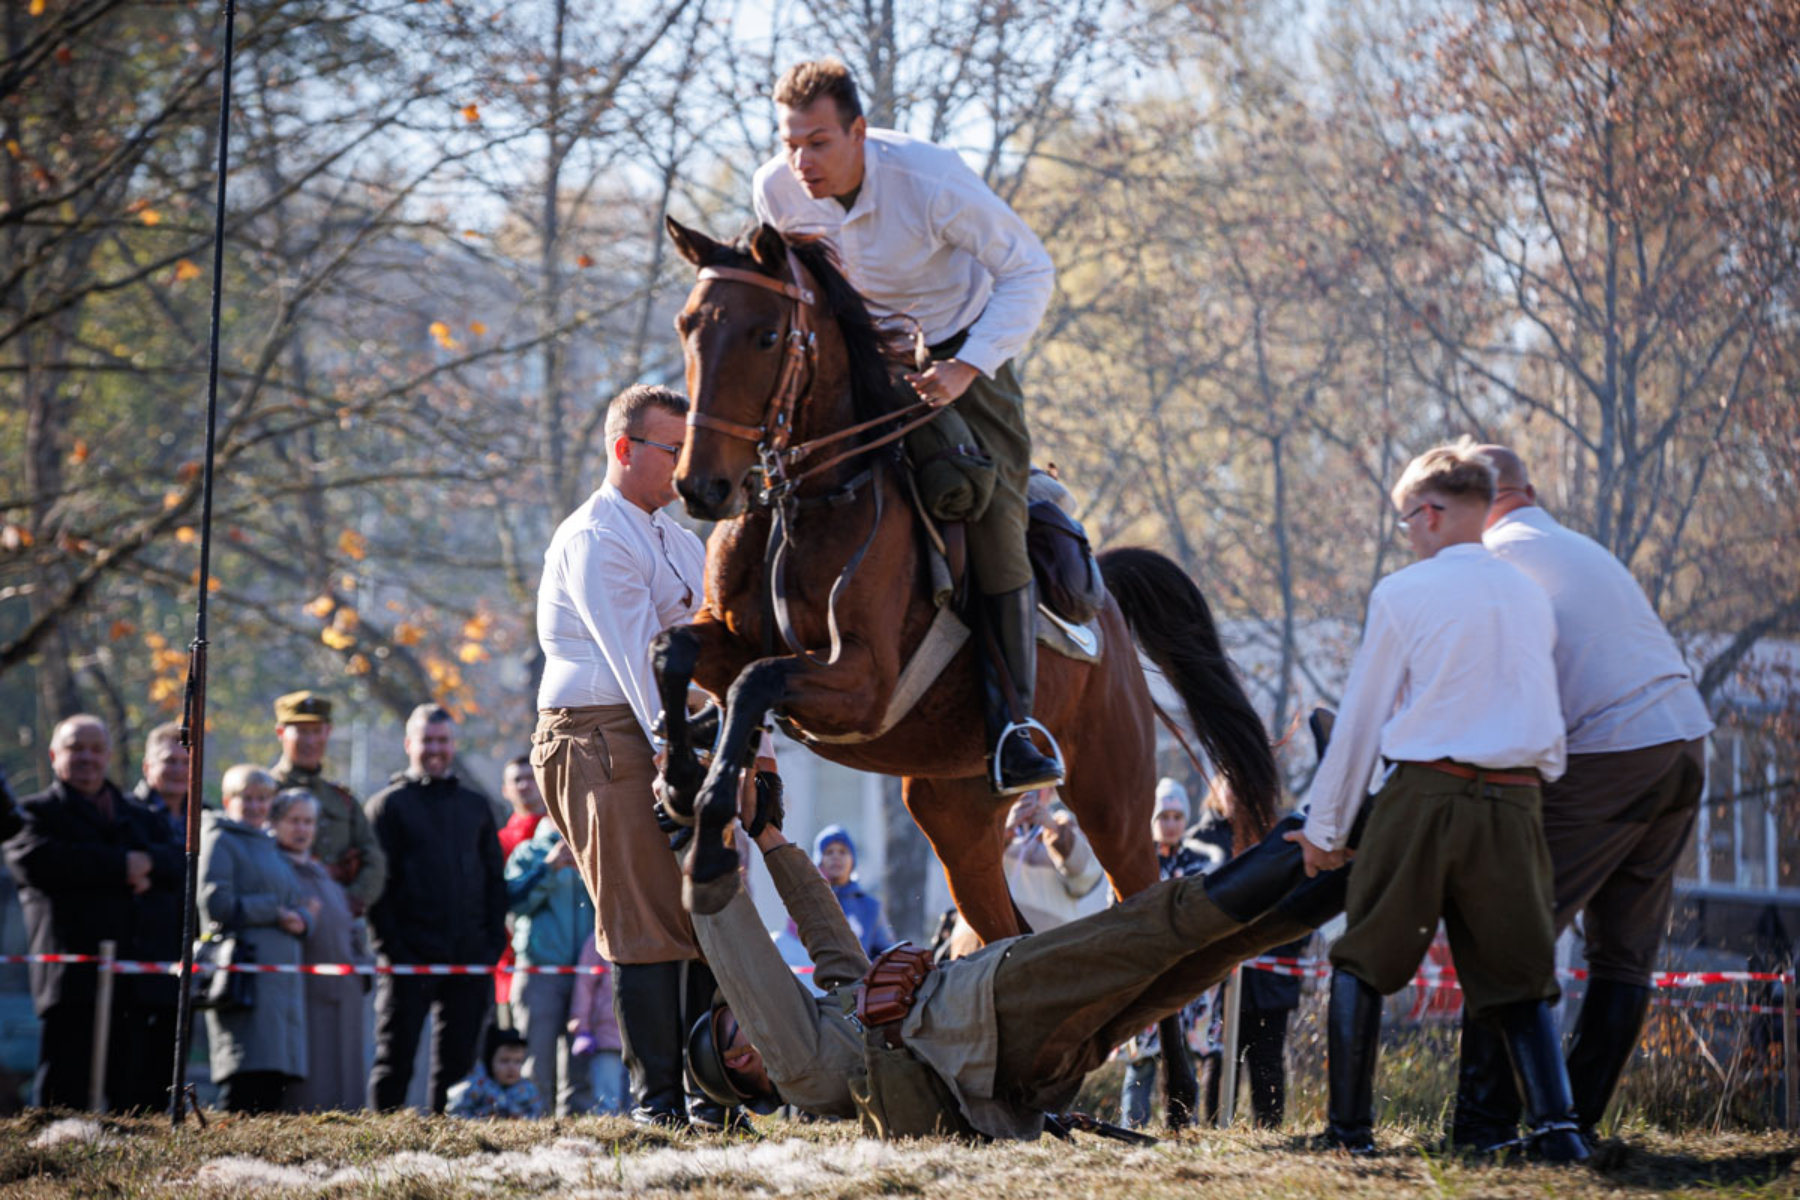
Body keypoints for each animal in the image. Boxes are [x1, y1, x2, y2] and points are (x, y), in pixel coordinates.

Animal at [655, 215, 1274, 942]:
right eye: (687, 325)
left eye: (766, 335)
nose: (701, 487)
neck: (813, 498)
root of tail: (1110, 614)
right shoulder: (730, 639)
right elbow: (673, 650)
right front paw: (680, 776)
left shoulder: (862, 683)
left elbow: (756, 682)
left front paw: (710, 848)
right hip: (955, 812)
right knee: (1002, 928)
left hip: (1113, 803)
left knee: (1139, 893)